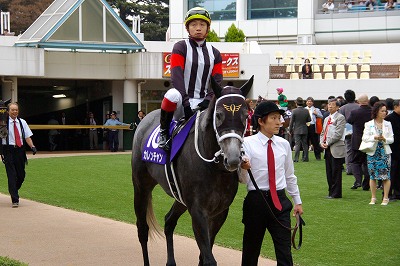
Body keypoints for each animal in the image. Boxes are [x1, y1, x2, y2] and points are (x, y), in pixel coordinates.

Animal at [132, 76, 253, 264]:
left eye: (245, 115)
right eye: (219, 115)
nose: (233, 158)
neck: (214, 168)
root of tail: (146, 118)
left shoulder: (219, 212)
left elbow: (204, 254)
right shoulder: (198, 211)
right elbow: (209, 258)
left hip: (180, 197)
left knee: (169, 221)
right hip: (141, 187)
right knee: (143, 229)